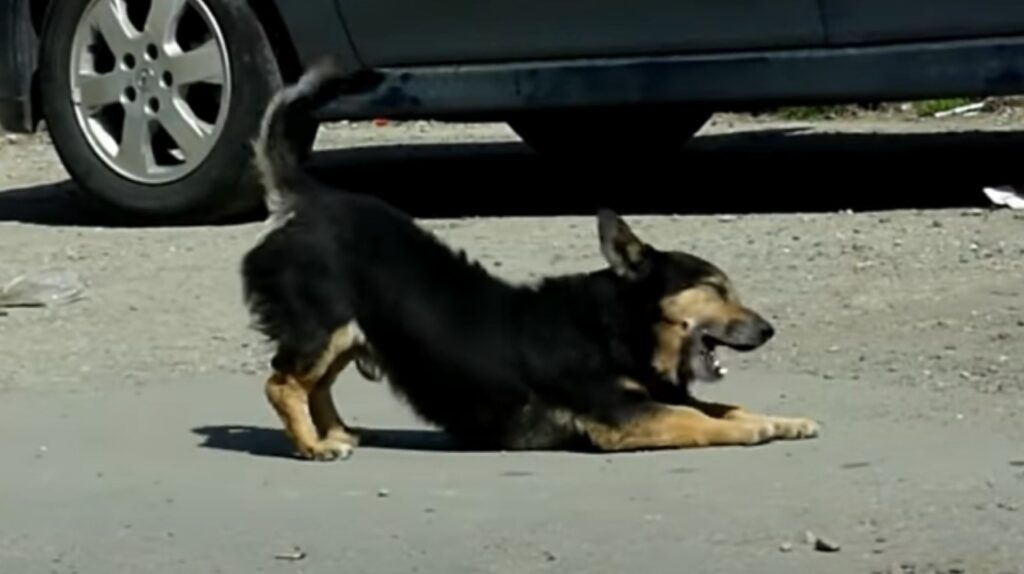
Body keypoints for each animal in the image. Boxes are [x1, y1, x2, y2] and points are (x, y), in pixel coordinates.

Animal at [237, 60, 815, 458]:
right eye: (716, 289)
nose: (768, 330)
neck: (614, 328)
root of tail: (305, 196)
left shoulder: (653, 395)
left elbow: (719, 404)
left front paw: (783, 420)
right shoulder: (623, 415)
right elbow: (700, 420)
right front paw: (752, 429)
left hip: (347, 332)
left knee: (315, 386)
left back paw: (337, 433)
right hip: (322, 325)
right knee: (282, 384)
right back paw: (313, 446)